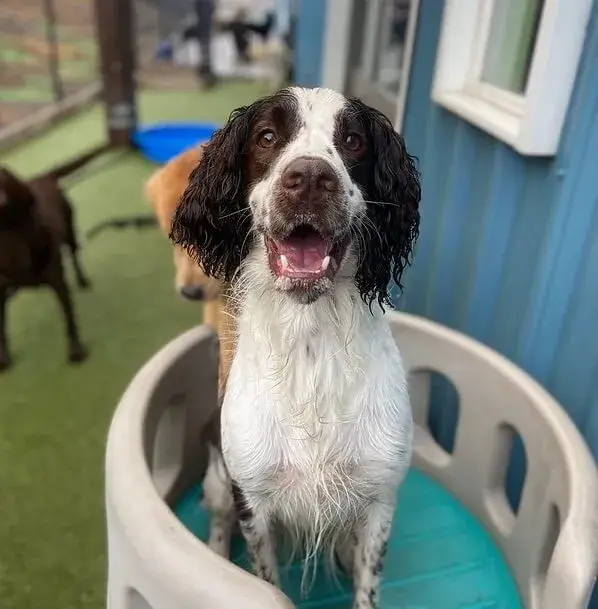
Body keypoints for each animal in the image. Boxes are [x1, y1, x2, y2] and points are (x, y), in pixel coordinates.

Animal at [170, 86, 422, 608]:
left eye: (353, 140)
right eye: (267, 136)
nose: (309, 179)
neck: (311, 343)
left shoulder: (379, 500)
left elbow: (368, 583)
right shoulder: (252, 499)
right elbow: (265, 577)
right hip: (219, 480)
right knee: (218, 523)